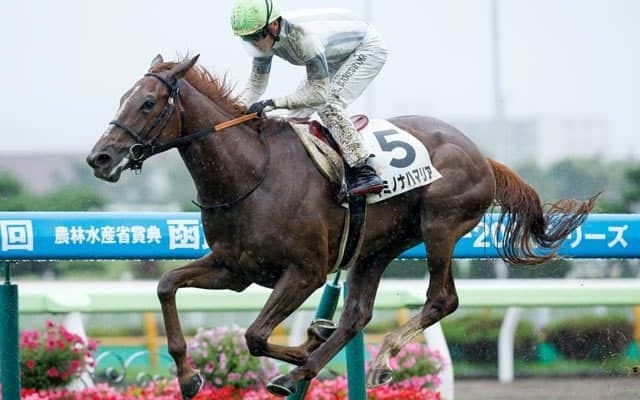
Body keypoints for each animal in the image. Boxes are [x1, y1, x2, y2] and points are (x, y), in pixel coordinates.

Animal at [86, 54, 597, 399]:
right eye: (122, 99)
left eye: (148, 103)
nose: (100, 158)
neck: (251, 173)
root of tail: (482, 155)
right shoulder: (234, 270)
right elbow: (167, 285)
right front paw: (190, 376)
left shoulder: (305, 272)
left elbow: (255, 335)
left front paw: (305, 351)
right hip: (376, 247)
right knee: (358, 315)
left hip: (440, 226)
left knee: (441, 299)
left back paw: (358, 362)